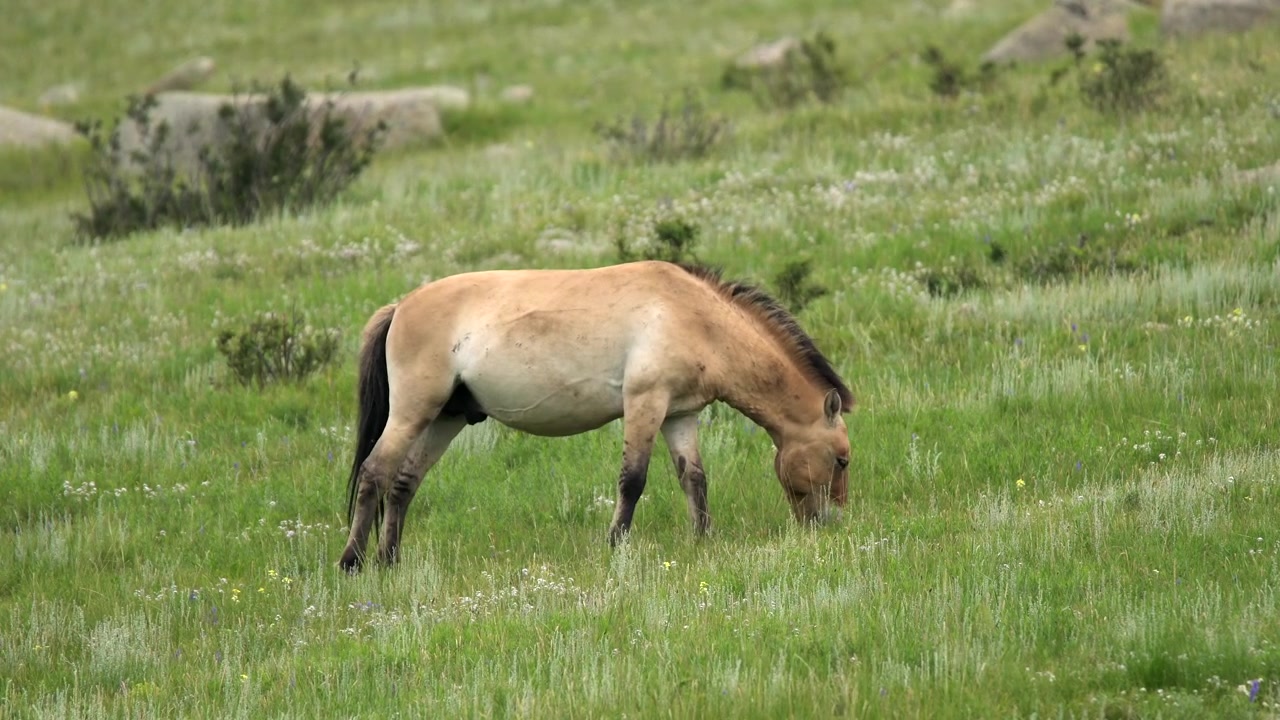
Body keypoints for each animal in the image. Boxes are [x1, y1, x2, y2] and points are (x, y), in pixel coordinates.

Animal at [338, 260, 854, 572]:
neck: (694, 316)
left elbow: (694, 478)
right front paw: (616, 545)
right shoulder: (645, 402)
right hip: (413, 411)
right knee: (374, 473)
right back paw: (352, 562)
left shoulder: (679, 415)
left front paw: (703, 539)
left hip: (445, 419)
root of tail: (400, 306)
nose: (830, 523)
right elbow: (633, 480)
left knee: (403, 483)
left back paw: (389, 560)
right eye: (842, 460)